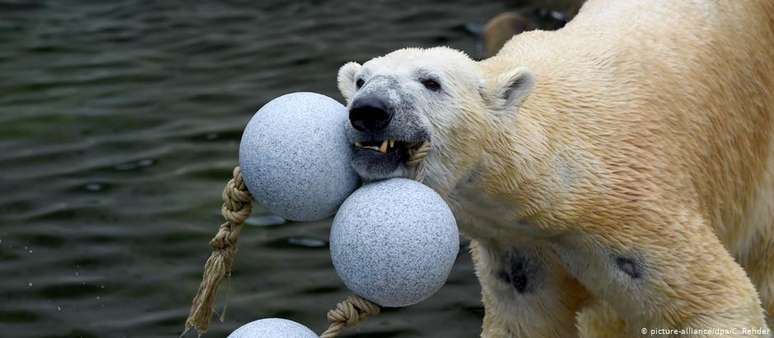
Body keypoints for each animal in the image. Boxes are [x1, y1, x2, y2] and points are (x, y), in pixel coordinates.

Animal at [338, 0, 774, 336]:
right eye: (361, 81)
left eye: (431, 82)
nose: (370, 111)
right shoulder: (520, 258)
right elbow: (528, 322)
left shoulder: (637, 219)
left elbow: (718, 303)